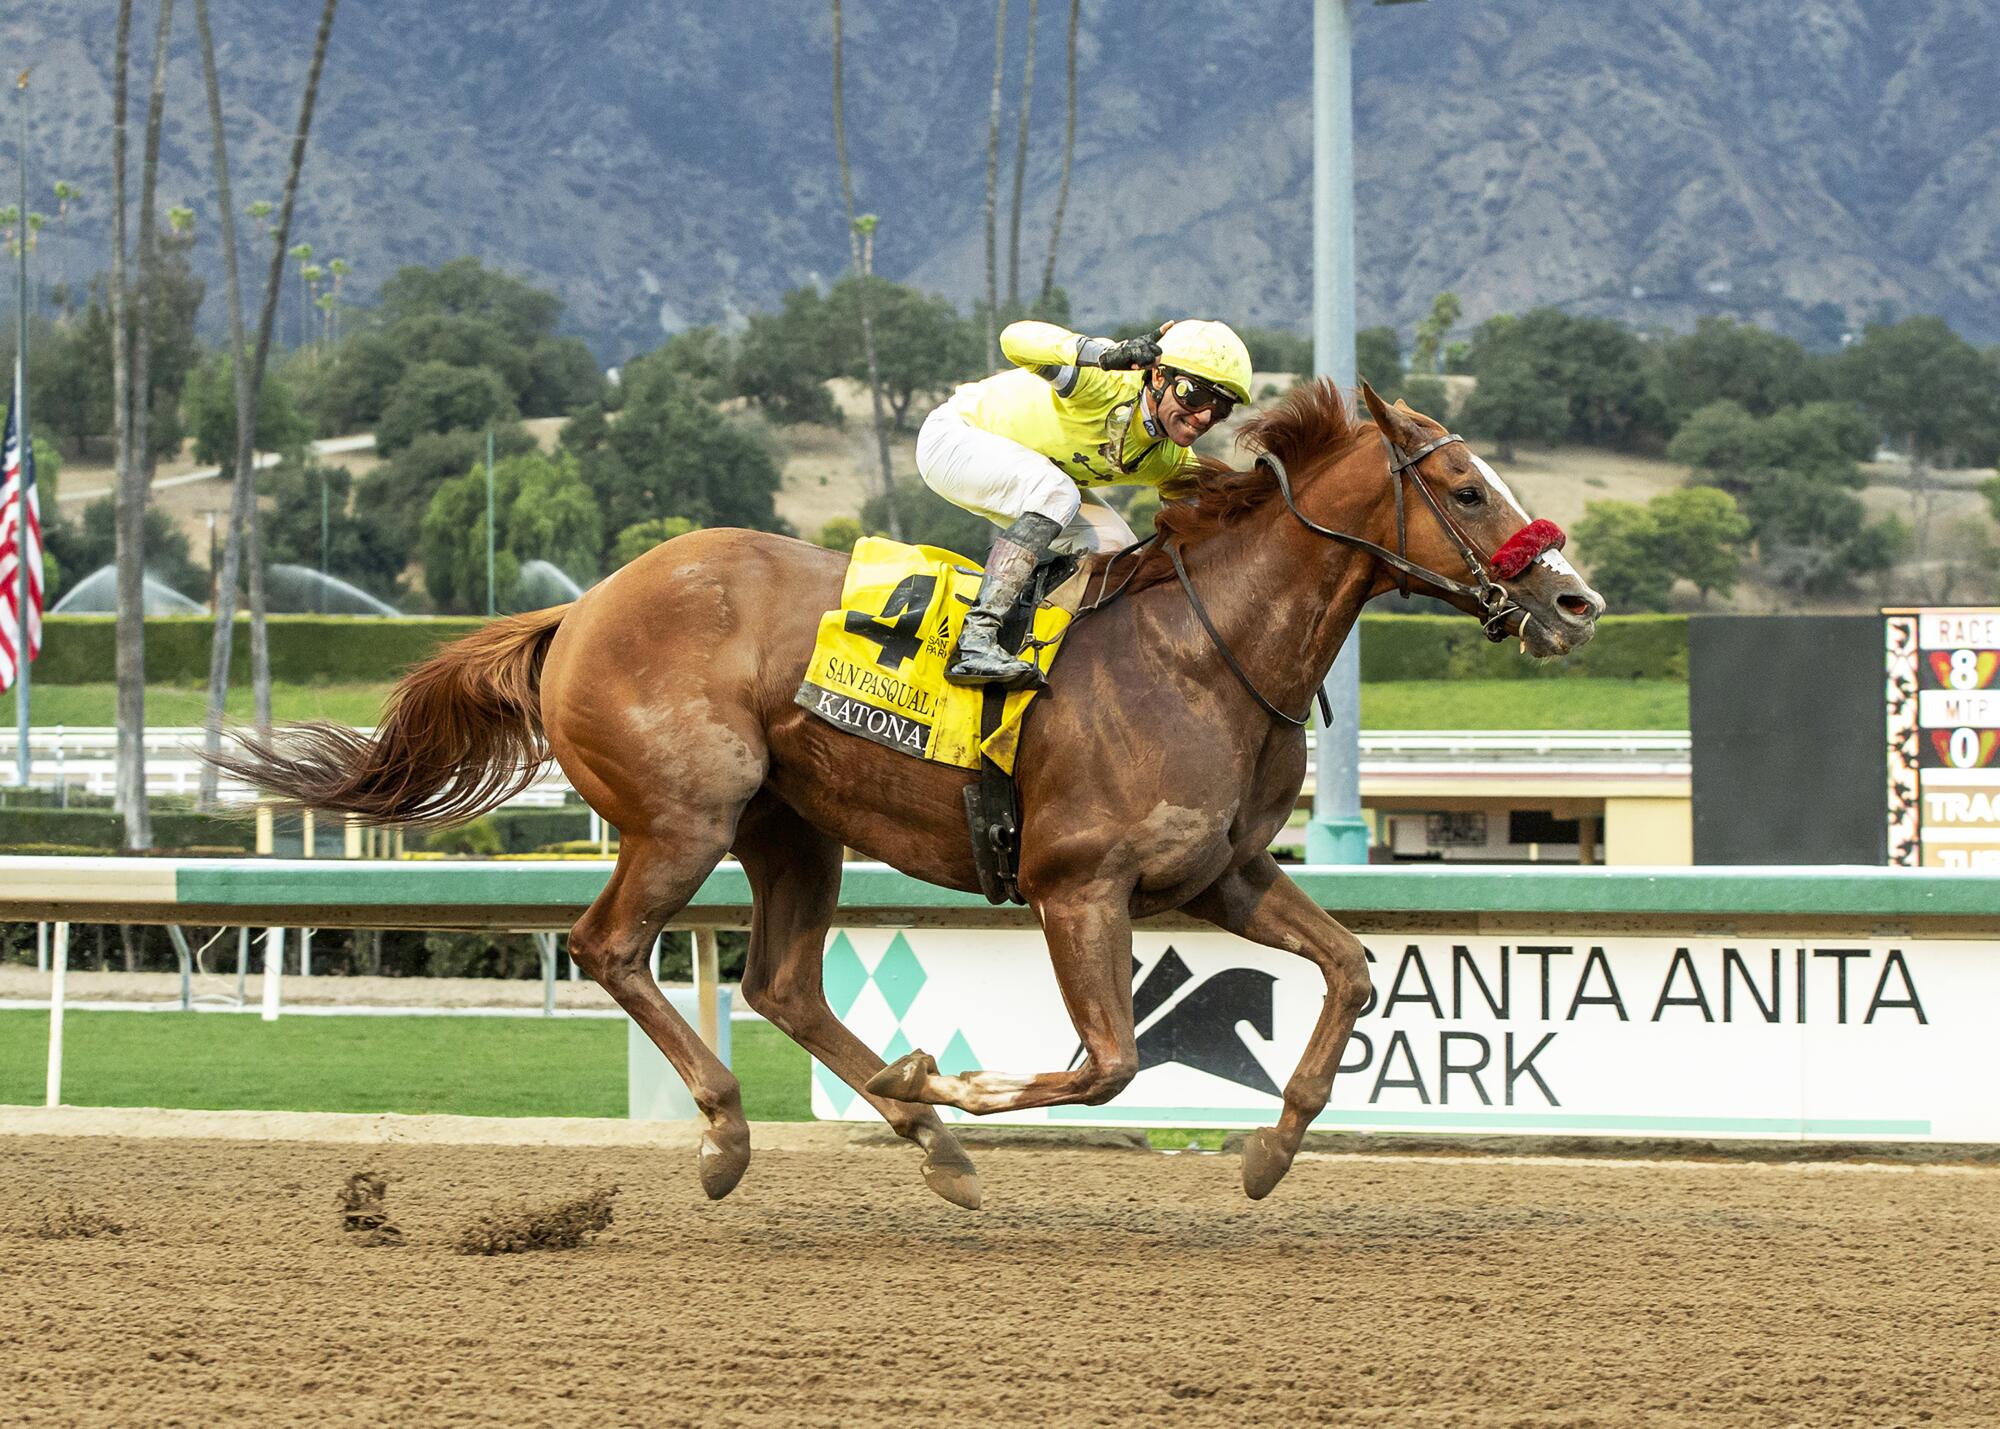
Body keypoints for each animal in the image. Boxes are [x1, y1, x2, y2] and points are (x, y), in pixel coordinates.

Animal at [211, 382, 1600, 1200]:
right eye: (1464, 486)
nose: (1575, 600)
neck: (1202, 651)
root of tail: (583, 604)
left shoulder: (1220, 873)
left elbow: (1353, 972)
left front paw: (1264, 1150)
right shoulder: (1075, 884)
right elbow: (1108, 1062)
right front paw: (965, 1083)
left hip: (792, 827)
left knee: (778, 982)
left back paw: (919, 1131)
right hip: (686, 814)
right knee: (612, 948)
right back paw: (739, 1132)